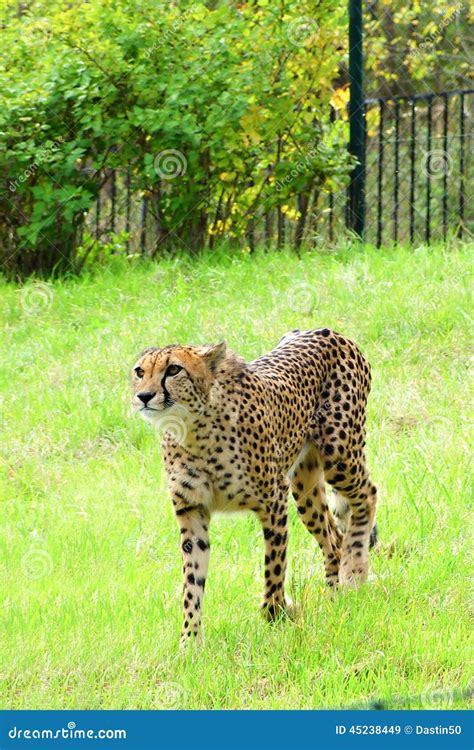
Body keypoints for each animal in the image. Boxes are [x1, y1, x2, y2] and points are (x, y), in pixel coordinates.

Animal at [132, 330, 378, 648]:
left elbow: (274, 567)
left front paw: (276, 613)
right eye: (140, 372)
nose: (144, 396)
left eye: (174, 369)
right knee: (334, 539)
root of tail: (327, 331)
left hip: (340, 456)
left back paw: (355, 570)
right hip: (304, 486)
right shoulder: (192, 512)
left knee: (368, 496)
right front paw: (190, 642)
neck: (192, 428)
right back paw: (335, 598)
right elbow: (192, 583)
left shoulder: (273, 500)